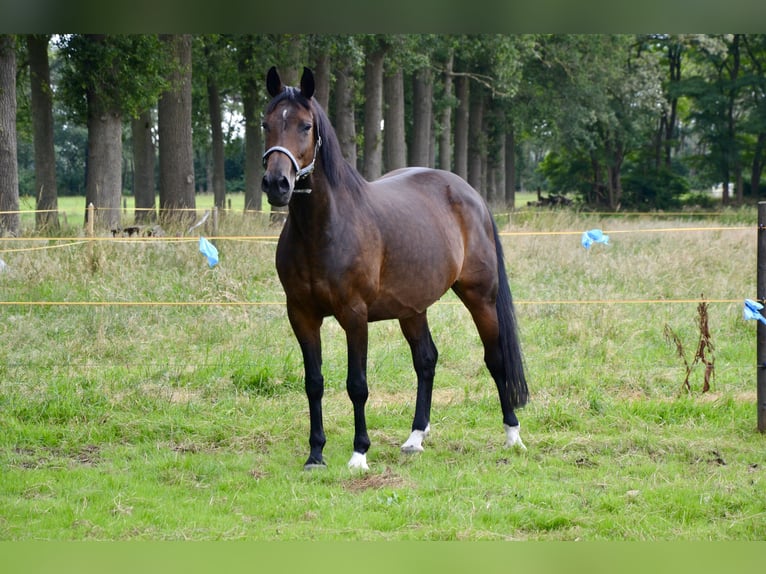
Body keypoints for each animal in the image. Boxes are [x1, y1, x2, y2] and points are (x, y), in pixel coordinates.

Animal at [260, 67, 528, 472]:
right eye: (266, 123)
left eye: (306, 126)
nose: (277, 184)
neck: (324, 229)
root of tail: (470, 195)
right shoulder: (301, 315)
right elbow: (314, 382)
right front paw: (315, 453)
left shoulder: (354, 315)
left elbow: (357, 384)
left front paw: (359, 454)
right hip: (412, 308)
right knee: (426, 361)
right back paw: (415, 437)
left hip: (480, 297)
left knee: (495, 360)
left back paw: (512, 435)